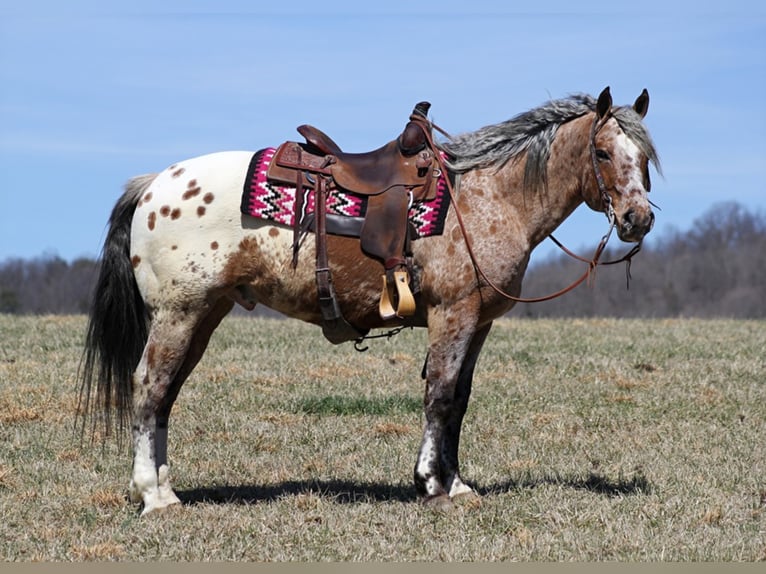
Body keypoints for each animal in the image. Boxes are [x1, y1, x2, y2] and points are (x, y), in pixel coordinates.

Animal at [81, 86, 664, 516]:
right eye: (604, 152)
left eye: (645, 157)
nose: (638, 219)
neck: (489, 197)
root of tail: (152, 184)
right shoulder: (452, 315)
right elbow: (440, 397)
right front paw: (433, 485)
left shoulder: (478, 322)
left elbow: (459, 401)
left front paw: (454, 482)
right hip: (179, 314)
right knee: (149, 387)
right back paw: (153, 496)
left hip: (202, 316)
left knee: (166, 395)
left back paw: (163, 488)